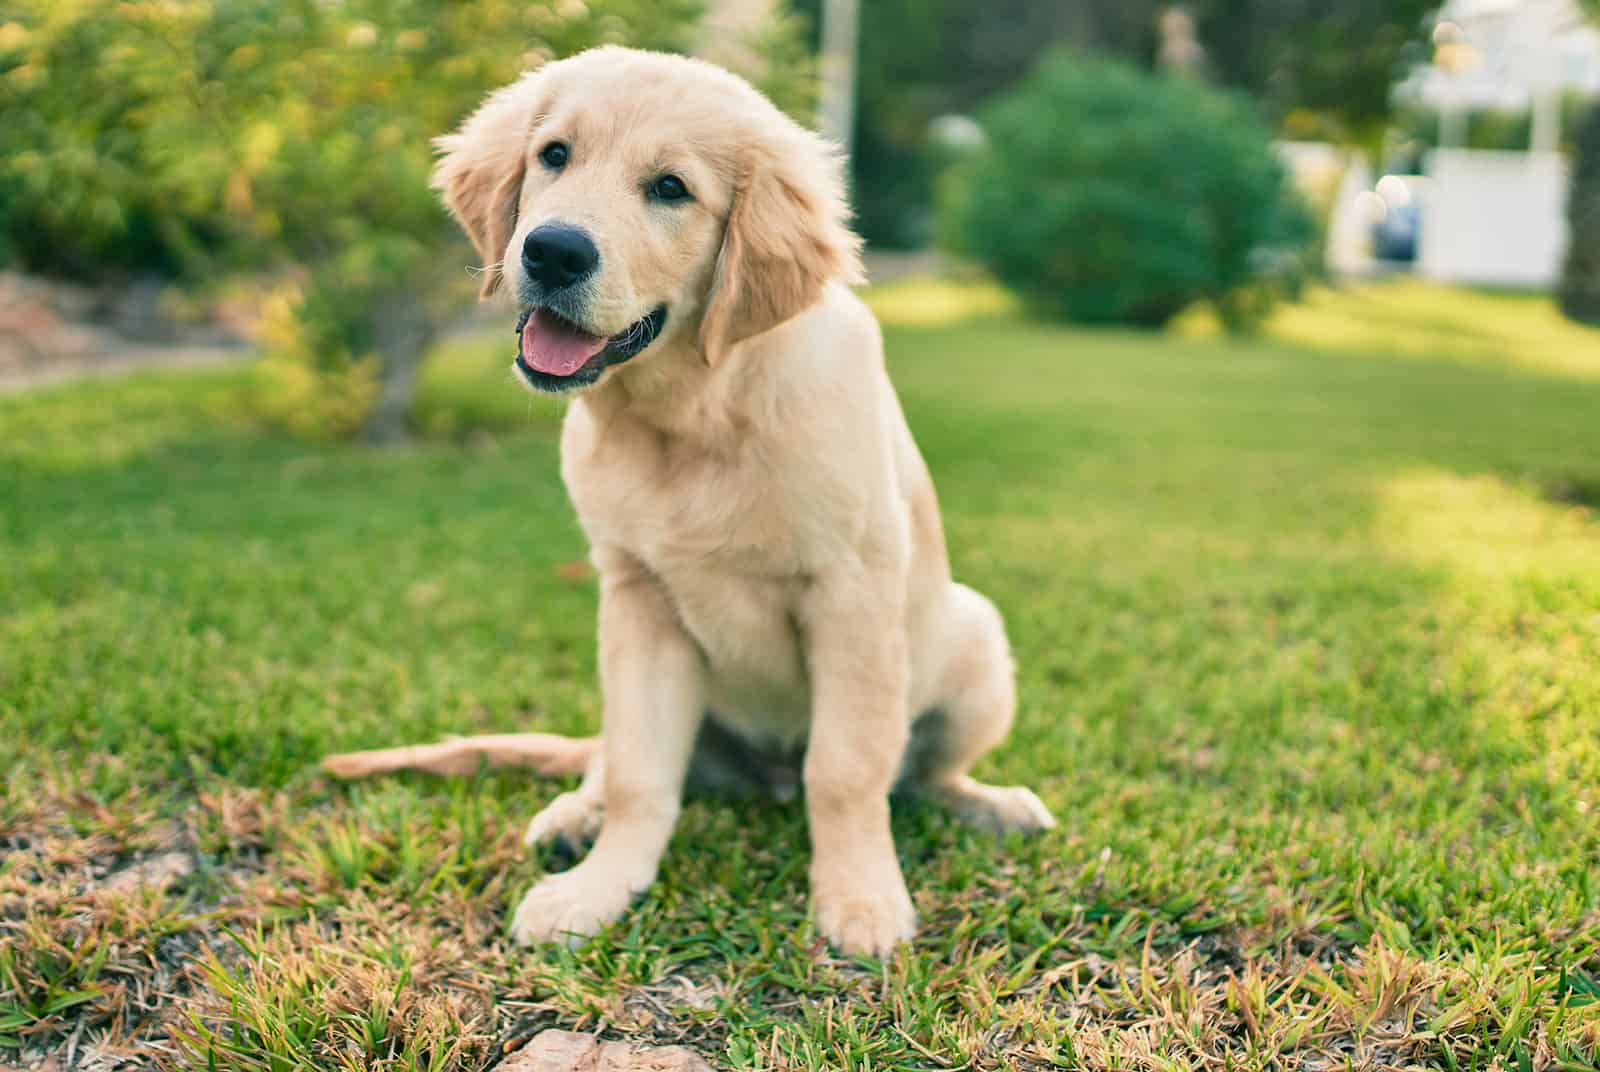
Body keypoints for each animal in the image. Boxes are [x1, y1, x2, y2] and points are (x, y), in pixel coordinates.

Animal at [323, 48, 1049, 960]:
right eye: (553, 155)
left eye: (670, 188)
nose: (551, 252)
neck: (695, 412)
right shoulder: (638, 599)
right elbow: (642, 775)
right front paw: (598, 889)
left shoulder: (851, 594)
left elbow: (847, 771)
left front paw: (860, 899)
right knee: (609, 757)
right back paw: (575, 814)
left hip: (975, 642)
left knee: (922, 775)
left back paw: (992, 805)